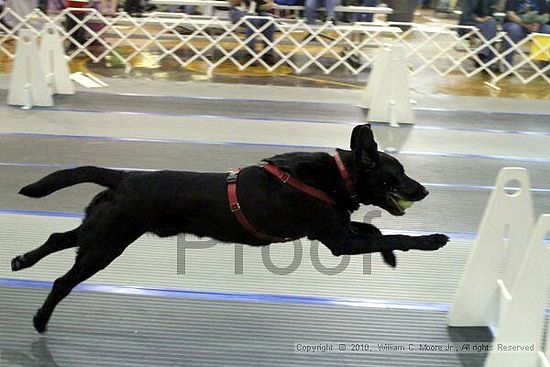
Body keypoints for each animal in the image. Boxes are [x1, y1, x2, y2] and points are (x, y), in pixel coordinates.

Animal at [11, 123, 448, 334]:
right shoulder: (337, 239)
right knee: (63, 281)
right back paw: (39, 320)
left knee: (57, 238)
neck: (336, 178)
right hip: (108, 243)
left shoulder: (338, 230)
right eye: (396, 174)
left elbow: (377, 234)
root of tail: (125, 176)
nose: (425, 190)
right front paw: (431, 240)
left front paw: (389, 259)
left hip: (102, 230)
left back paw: (21, 261)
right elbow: (394, 235)